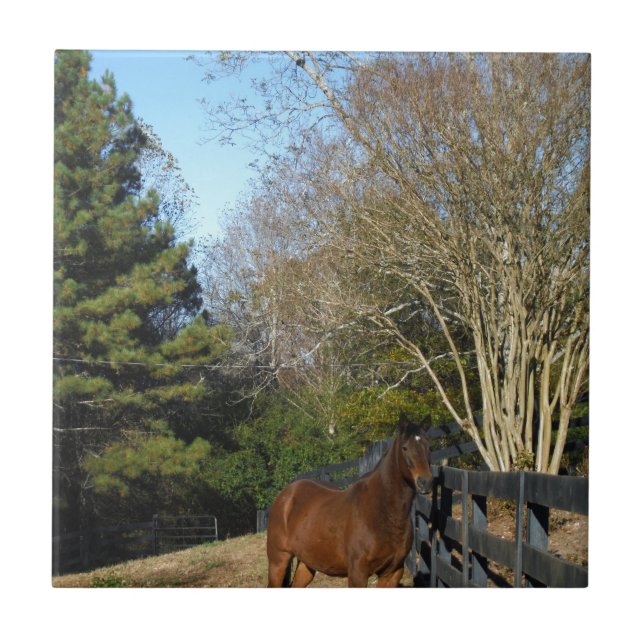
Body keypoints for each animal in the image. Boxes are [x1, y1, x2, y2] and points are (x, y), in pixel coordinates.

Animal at [266, 415, 433, 587]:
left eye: (429, 447)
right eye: (405, 448)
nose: (425, 482)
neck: (383, 511)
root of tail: (286, 495)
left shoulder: (392, 573)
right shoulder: (358, 574)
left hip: (307, 562)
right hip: (278, 560)